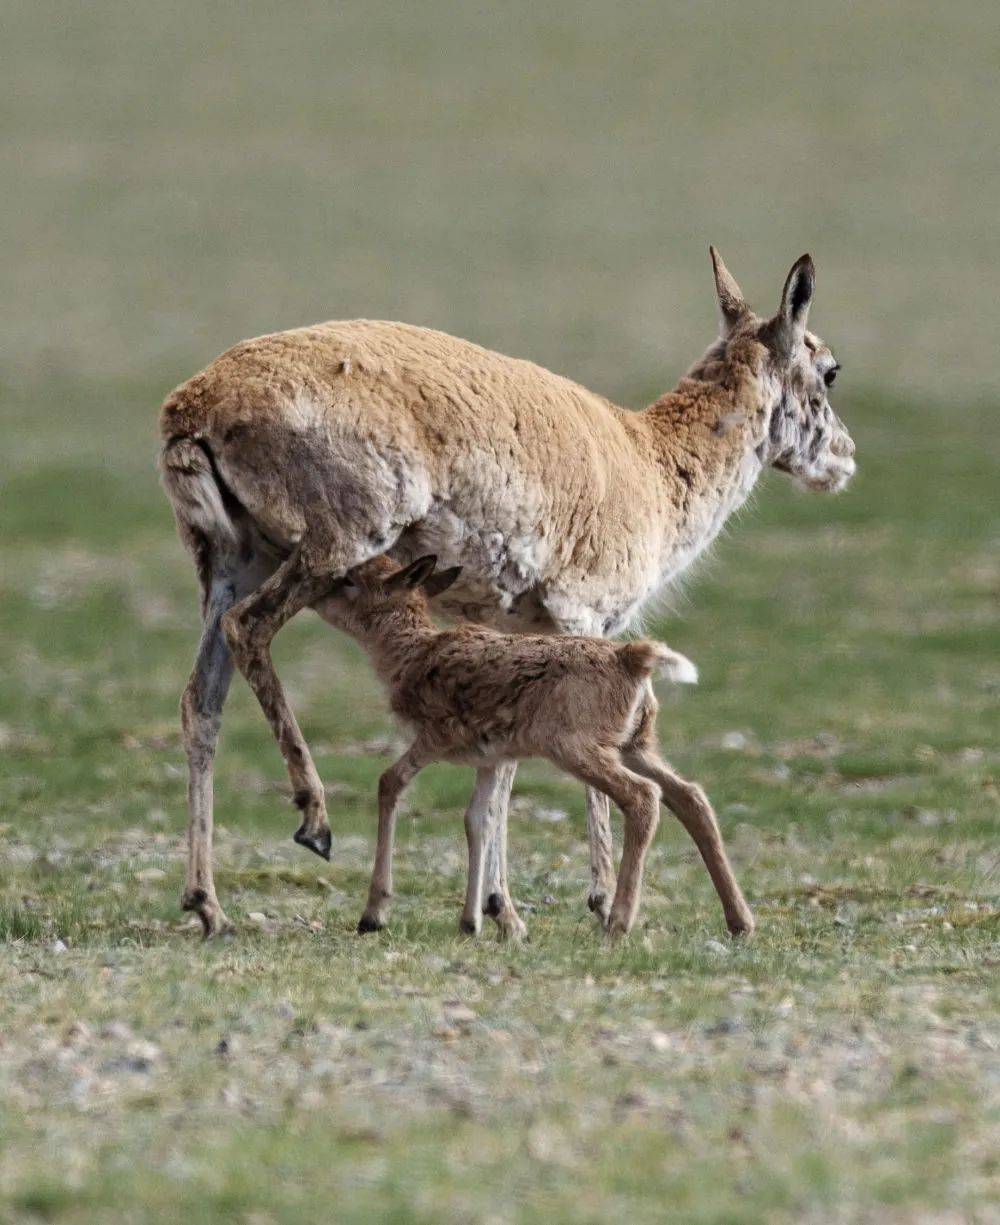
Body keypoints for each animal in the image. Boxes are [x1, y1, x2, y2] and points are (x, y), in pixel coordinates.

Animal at [316, 551, 754, 940]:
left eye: (352, 580)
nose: (318, 592)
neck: (414, 652)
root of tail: (633, 656)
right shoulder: (491, 757)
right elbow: (479, 819)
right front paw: (472, 922)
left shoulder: (434, 740)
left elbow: (390, 782)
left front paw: (374, 914)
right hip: (636, 747)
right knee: (690, 796)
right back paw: (740, 921)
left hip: (577, 750)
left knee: (643, 796)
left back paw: (618, 923)